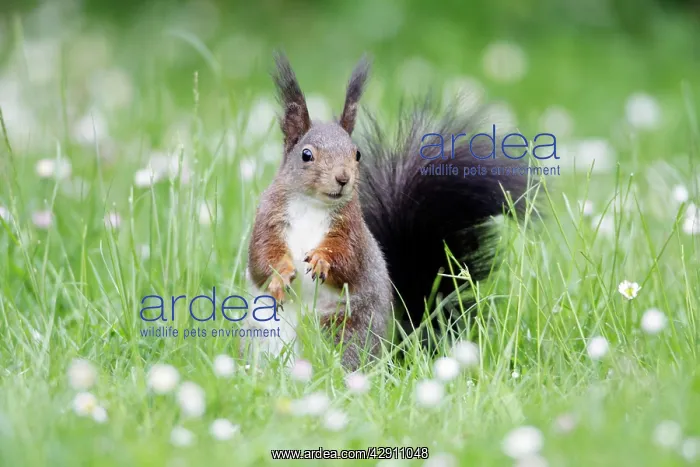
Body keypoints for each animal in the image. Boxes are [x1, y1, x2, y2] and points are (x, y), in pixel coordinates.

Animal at [245, 52, 528, 370]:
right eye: (306, 155)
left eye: (357, 154)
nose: (343, 178)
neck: (312, 205)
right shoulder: (268, 219)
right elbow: (261, 258)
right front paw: (279, 276)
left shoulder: (352, 231)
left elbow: (348, 260)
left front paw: (321, 259)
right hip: (266, 334)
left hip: (347, 328)